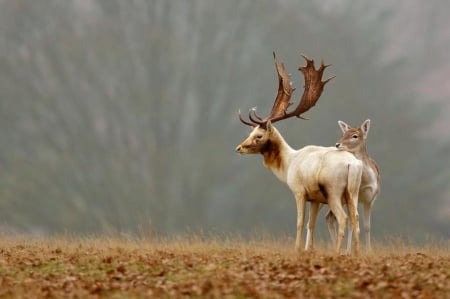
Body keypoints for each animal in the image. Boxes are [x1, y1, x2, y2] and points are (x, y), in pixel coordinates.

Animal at [236, 52, 362, 254]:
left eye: (258, 135)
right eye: (250, 132)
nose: (239, 148)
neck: (288, 164)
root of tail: (353, 164)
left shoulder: (299, 191)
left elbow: (300, 223)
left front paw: (297, 249)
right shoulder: (315, 198)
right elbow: (311, 224)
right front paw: (309, 250)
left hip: (333, 191)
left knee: (343, 218)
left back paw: (336, 252)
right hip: (353, 191)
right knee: (356, 218)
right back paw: (356, 253)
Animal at [326, 119, 380, 251]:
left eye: (355, 136)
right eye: (343, 134)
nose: (337, 144)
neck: (365, 181)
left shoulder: (370, 199)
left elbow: (367, 226)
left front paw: (369, 250)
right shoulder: (349, 198)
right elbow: (351, 223)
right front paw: (348, 251)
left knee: (330, 217)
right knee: (330, 217)